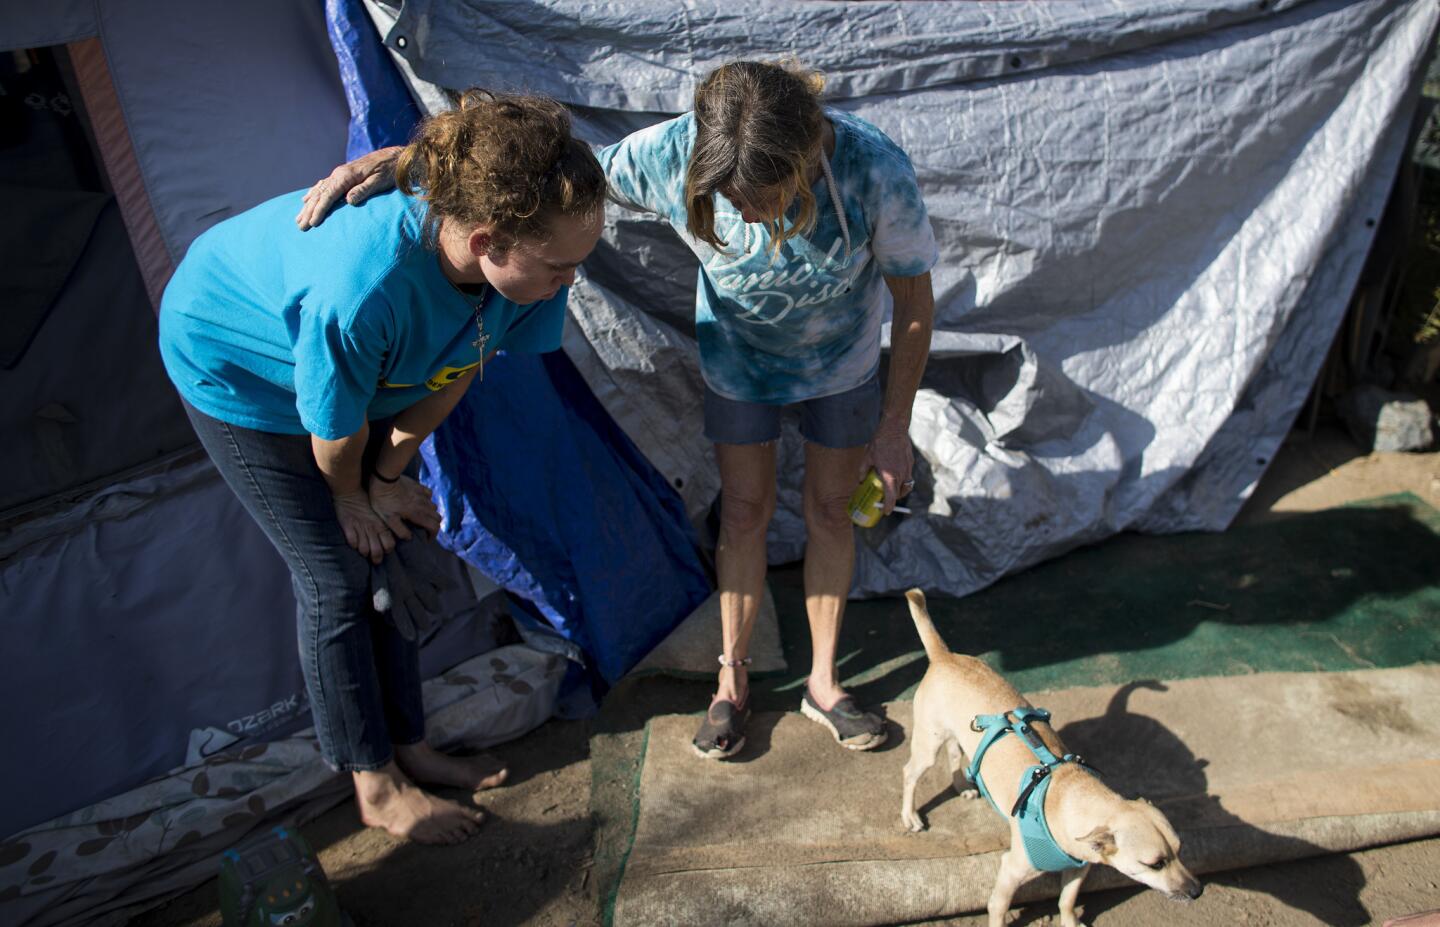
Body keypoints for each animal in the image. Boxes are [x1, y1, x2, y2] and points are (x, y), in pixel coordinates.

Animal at [904, 590, 1198, 921]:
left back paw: (962, 786)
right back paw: (910, 816)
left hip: (954, 734)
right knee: (910, 773)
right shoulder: (1011, 870)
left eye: (1180, 850)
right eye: (1155, 863)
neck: (1073, 797)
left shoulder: (1080, 868)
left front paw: (1070, 921)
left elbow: (1066, 901)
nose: (1197, 890)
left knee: (955, 754)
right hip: (927, 746)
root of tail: (944, 656)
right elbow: (998, 906)